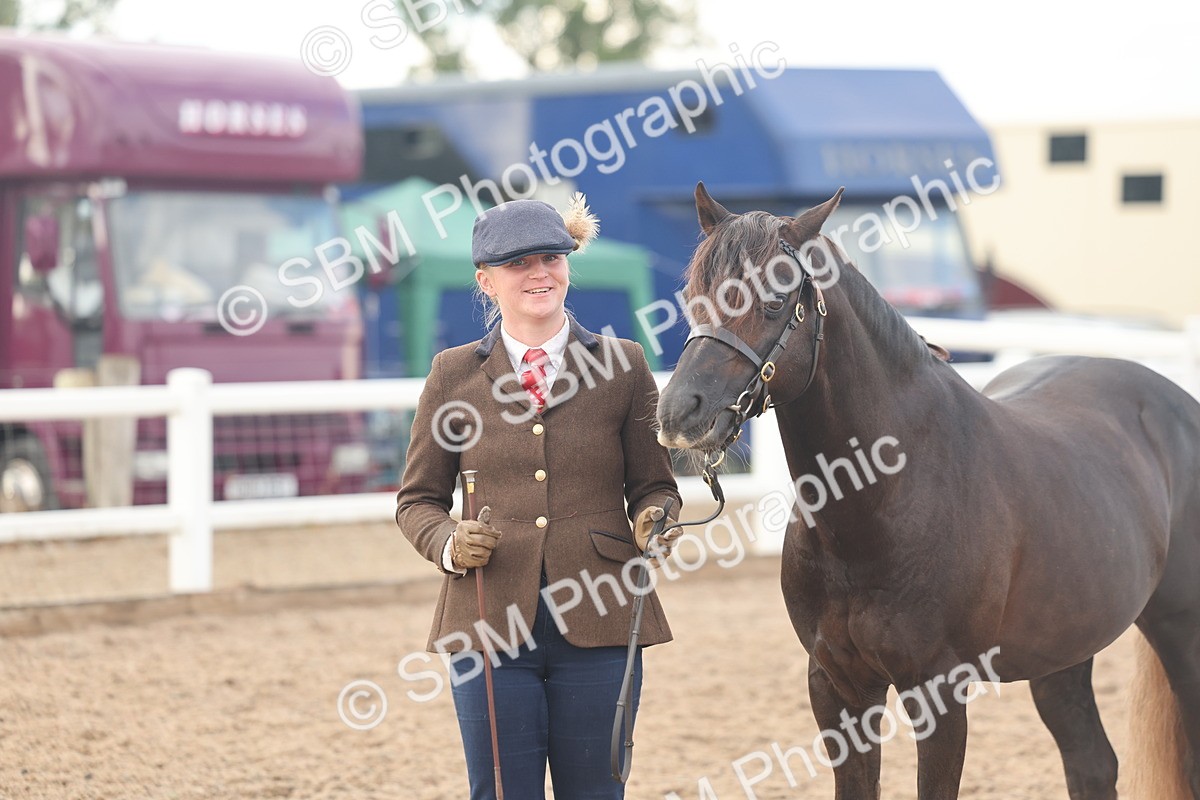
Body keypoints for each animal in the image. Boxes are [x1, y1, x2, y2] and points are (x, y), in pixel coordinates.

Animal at [655, 182, 1200, 799]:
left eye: (773, 301)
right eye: (692, 296)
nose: (679, 413)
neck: (880, 502)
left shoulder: (937, 691)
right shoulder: (837, 687)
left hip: (1181, 634)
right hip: (1062, 652)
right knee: (1092, 764)